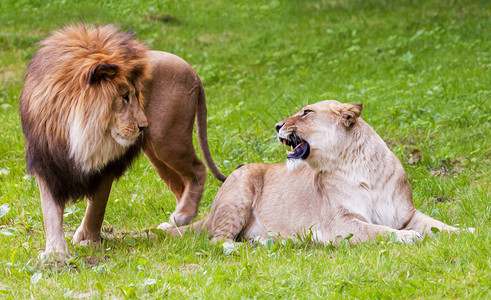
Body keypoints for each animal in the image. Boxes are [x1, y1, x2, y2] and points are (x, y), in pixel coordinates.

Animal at [19, 24, 226, 258]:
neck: (80, 131)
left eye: (137, 95)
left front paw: (88, 239)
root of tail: (192, 71)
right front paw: (56, 252)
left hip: (167, 141)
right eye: (125, 97)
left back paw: (182, 216)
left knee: (198, 169)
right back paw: (178, 221)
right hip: (156, 152)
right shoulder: (48, 162)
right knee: (181, 184)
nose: (144, 126)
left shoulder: (107, 164)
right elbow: (50, 211)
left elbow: (97, 207)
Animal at [165, 100, 468, 244]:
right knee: (218, 241)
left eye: (306, 112)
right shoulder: (340, 224)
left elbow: (438, 225)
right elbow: (379, 231)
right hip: (240, 188)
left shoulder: (406, 214)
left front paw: (467, 231)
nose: (277, 126)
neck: (358, 165)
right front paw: (409, 237)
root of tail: (211, 210)